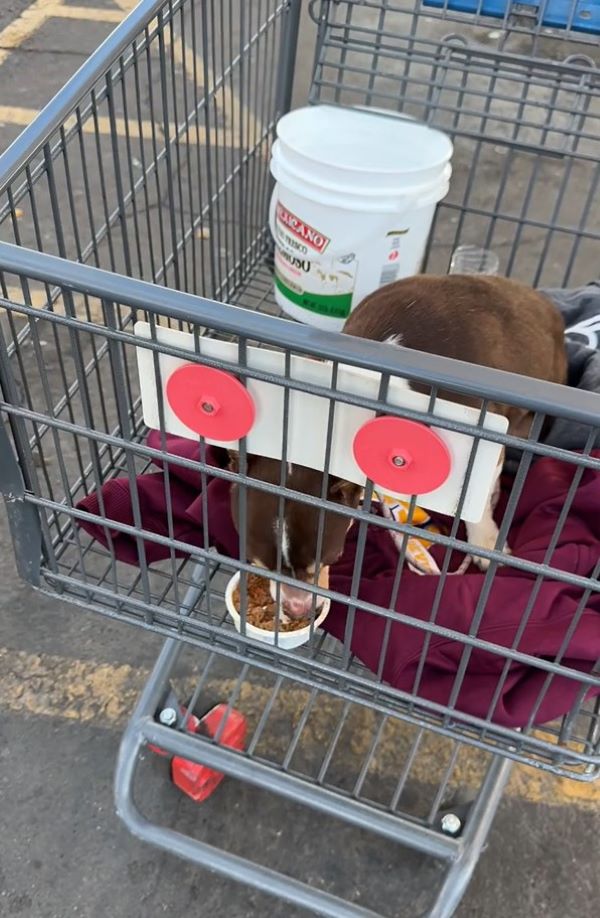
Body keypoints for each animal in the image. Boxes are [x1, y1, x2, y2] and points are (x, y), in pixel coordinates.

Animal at [227, 274, 564, 620]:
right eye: (257, 562)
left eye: (331, 557)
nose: (297, 611)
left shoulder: (483, 438)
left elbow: (476, 503)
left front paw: (484, 542)